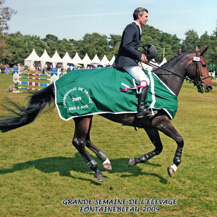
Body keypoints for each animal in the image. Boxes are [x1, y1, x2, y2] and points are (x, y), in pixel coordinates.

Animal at [0, 47, 213, 181]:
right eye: (203, 65)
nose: (209, 87)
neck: (165, 82)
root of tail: (61, 81)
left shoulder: (150, 125)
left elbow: (158, 148)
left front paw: (137, 160)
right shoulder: (160, 122)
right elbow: (180, 140)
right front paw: (173, 166)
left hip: (89, 114)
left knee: (85, 140)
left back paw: (105, 160)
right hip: (83, 116)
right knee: (79, 142)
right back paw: (97, 170)